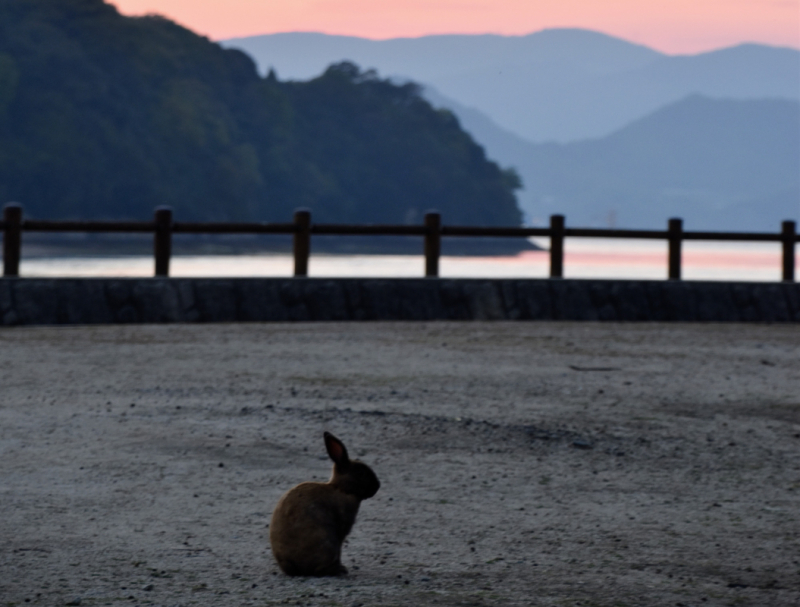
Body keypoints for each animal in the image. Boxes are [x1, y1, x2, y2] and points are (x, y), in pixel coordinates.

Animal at [269, 432, 380, 576]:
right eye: (361, 473)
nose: (378, 485)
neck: (341, 488)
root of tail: (293, 567)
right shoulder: (341, 530)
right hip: (327, 542)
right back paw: (339, 570)